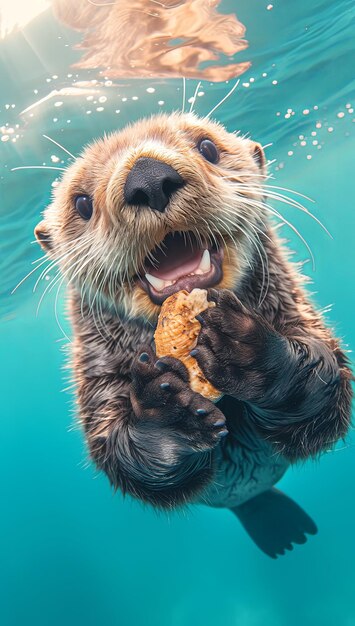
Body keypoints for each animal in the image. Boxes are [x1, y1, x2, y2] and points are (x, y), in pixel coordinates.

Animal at [34, 112, 354, 556]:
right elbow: (117, 448)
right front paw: (165, 409)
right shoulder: (98, 371)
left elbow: (326, 383)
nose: (148, 178)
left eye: (208, 147)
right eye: (82, 203)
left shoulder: (291, 307)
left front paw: (251, 354)